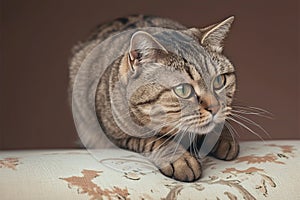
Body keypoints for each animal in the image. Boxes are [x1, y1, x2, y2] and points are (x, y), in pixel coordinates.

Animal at [68, 14, 239, 182]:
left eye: (219, 81)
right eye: (183, 90)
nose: (215, 108)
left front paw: (222, 136)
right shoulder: (117, 137)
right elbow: (155, 140)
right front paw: (180, 159)